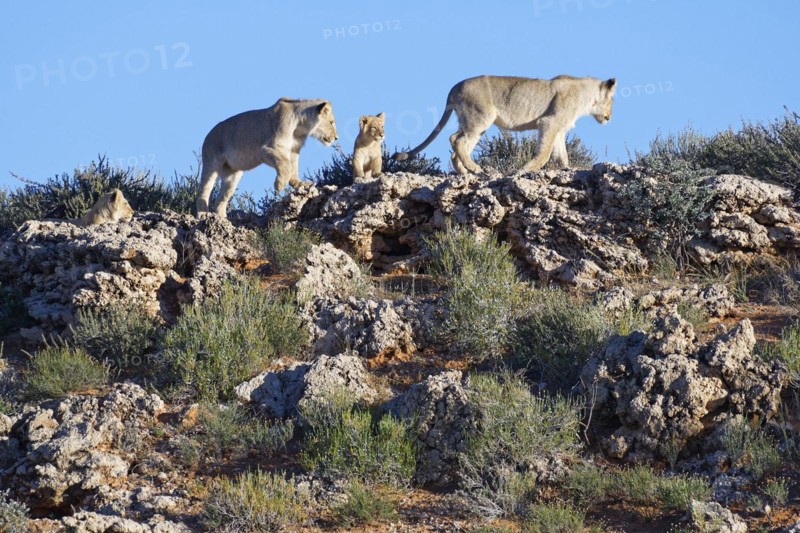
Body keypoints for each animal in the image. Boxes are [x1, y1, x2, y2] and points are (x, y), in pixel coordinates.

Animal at [196, 98, 338, 217]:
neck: (301, 127)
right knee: (204, 190)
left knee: (221, 198)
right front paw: (279, 185)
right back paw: (203, 214)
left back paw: (222, 219)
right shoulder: (266, 149)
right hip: (211, 163)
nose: (336, 138)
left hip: (233, 174)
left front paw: (299, 183)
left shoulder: (293, 150)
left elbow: (293, 167)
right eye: (331, 122)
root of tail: (208, 134)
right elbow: (286, 165)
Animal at [393, 75, 616, 174]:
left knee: (457, 142)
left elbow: (562, 155)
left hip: (473, 122)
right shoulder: (549, 122)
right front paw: (525, 169)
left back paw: (464, 172)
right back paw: (475, 168)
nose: (609, 117)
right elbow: (544, 153)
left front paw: (566, 169)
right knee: (456, 140)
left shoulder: (559, 130)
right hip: (481, 116)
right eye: (612, 100)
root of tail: (455, 87)